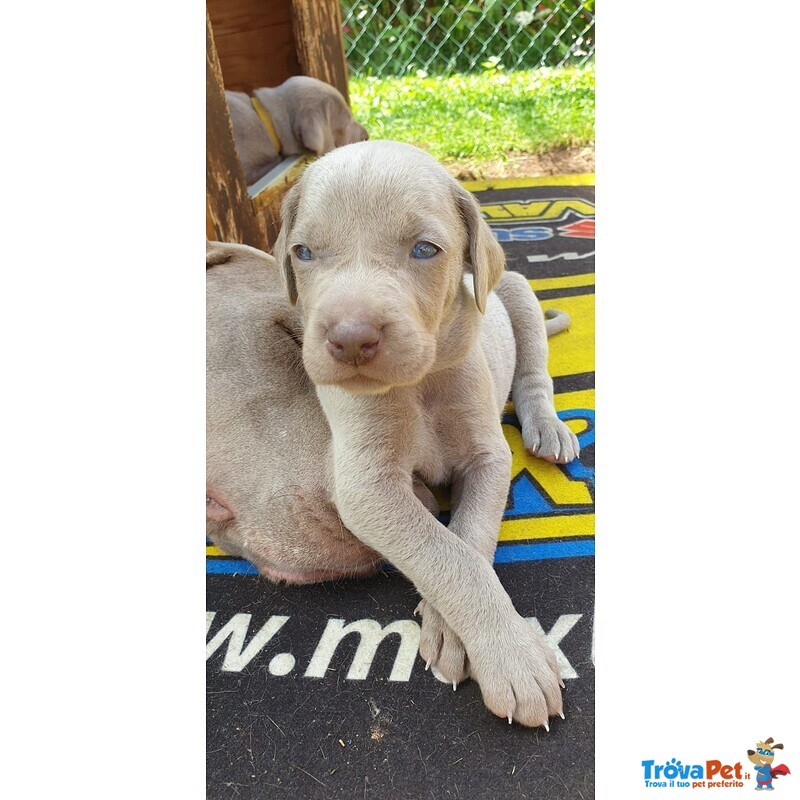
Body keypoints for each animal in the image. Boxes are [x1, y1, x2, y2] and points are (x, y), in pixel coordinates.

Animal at [208, 139, 576, 732]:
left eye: (425, 250)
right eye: (304, 252)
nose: (350, 338)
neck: (416, 387)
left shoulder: (488, 458)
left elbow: (469, 539)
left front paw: (477, 639)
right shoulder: (367, 487)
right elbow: (446, 554)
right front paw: (508, 653)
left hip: (518, 292)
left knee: (533, 374)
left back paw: (548, 426)